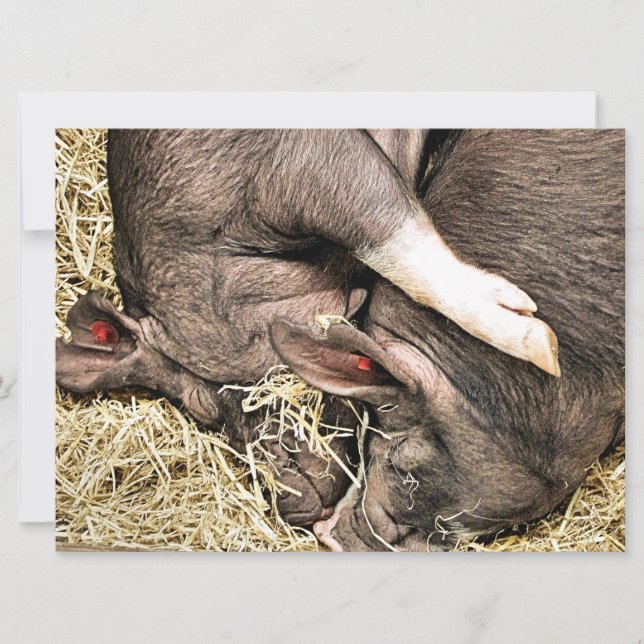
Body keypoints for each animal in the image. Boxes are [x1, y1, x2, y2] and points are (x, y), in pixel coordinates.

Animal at [57, 128, 561, 528]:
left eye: (204, 402)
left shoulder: (301, 161)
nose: (290, 507)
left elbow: (394, 236)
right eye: (205, 418)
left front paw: (541, 344)